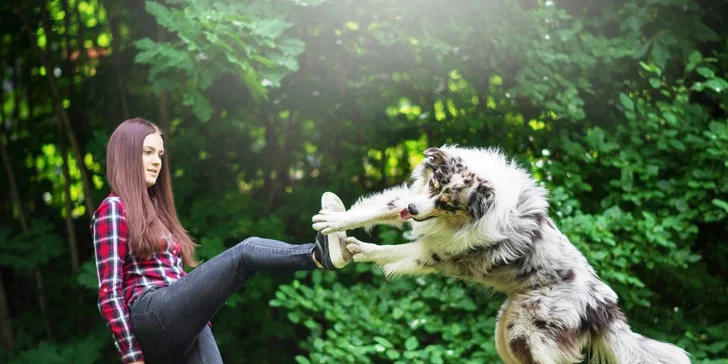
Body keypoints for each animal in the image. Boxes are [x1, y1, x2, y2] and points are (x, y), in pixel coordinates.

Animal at [312, 146, 688, 364]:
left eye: (448, 203)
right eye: (434, 184)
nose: (415, 210)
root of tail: (602, 302)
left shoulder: (435, 254)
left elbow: (392, 251)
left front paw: (361, 249)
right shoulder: (411, 201)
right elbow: (374, 210)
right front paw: (335, 221)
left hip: (528, 335)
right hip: (505, 329)